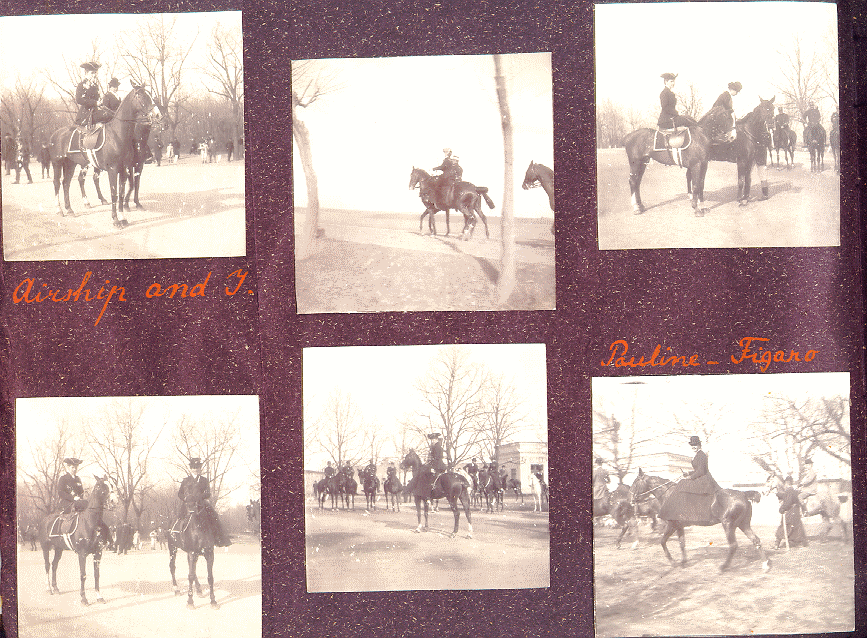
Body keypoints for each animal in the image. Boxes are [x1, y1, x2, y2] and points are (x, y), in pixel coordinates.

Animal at [39, 478, 115, 608]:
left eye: (112, 485)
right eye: (101, 486)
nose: (113, 501)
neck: (91, 523)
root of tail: (45, 520)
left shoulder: (98, 553)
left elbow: (96, 575)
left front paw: (99, 596)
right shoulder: (82, 554)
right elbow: (83, 575)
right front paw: (84, 599)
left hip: (59, 549)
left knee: (54, 565)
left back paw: (56, 588)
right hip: (46, 547)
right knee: (47, 565)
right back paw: (49, 588)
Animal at [49, 86, 162, 228]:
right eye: (142, 96)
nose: (158, 115)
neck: (118, 135)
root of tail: (56, 134)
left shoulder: (125, 169)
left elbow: (123, 191)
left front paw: (123, 217)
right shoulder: (113, 170)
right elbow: (115, 193)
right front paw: (115, 220)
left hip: (71, 164)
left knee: (66, 183)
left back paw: (70, 209)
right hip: (57, 163)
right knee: (57, 183)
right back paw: (60, 209)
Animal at [628, 470, 768, 576]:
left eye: (635, 483)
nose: (631, 500)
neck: (668, 495)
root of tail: (744, 494)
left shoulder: (672, 525)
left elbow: (662, 541)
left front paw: (673, 562)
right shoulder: (679, 526)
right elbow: (682, 544)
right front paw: (683, 562)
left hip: (728, 525)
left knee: (733, 545)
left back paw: (723, 567)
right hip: (743, 524)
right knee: (756, 540)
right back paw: (765, 564)